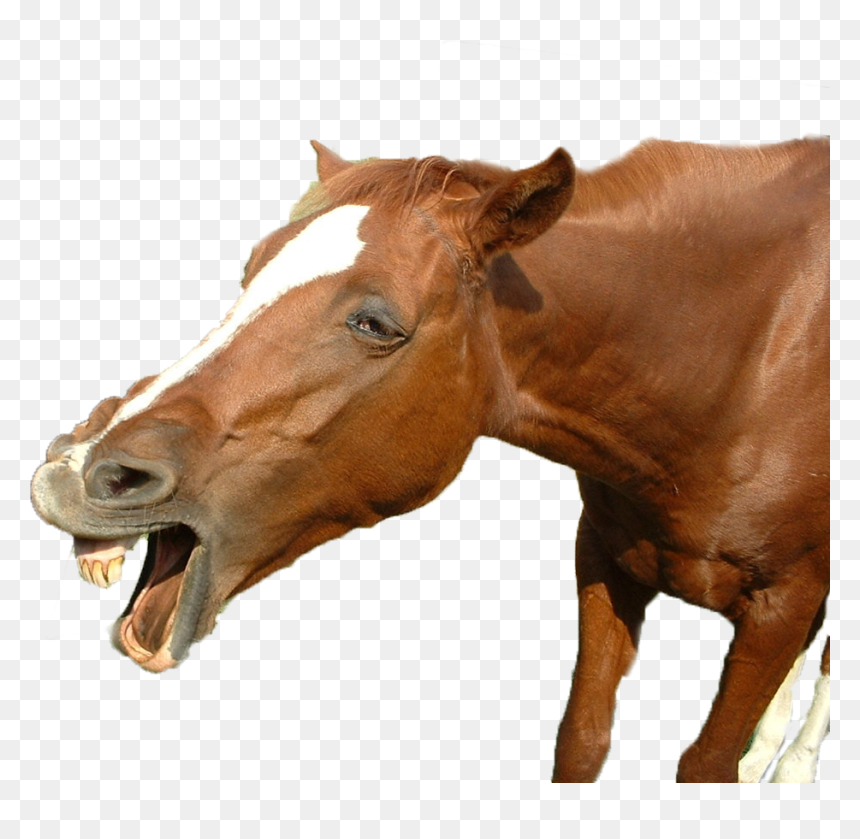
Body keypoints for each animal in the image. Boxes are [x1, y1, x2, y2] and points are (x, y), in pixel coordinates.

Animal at [31, 138, 830, 782]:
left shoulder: (781, 605)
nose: (75, 470)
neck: (735, 364)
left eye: (375, 322)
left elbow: (707, 762)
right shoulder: (608, 561)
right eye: (249, 271)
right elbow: (582, 741)